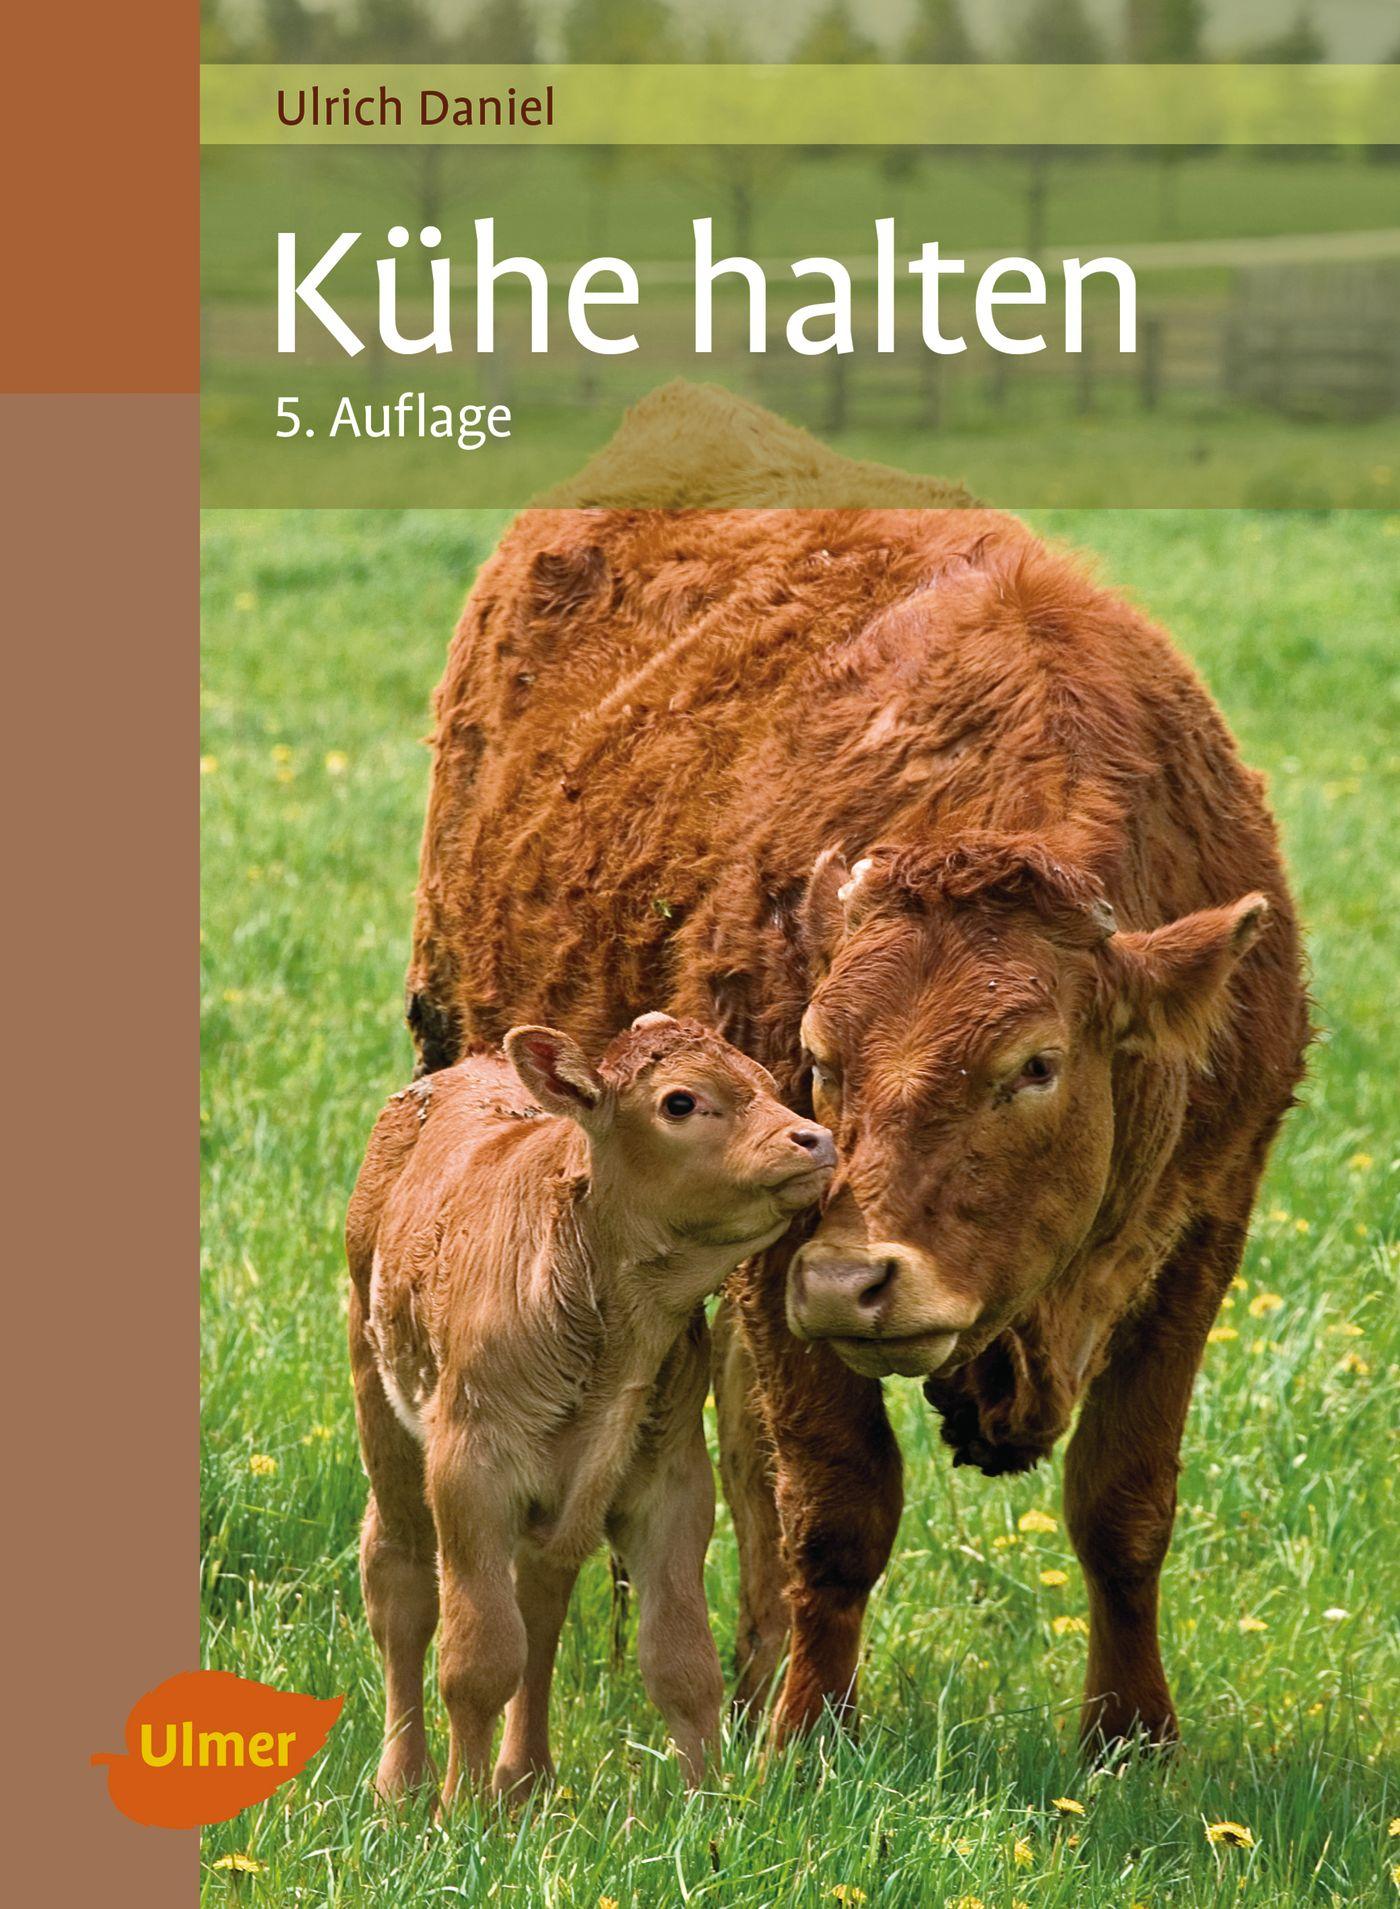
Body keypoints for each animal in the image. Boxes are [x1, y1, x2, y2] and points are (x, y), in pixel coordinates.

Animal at [347, 1012, 835, 1802]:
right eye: (680, 1101)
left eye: (766, 1081)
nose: (815, 1139)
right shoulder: (469, 1472)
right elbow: (479, 1658)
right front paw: (461, 1811)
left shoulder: (672, 1481)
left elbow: (682, 1662)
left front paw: (707, 1808)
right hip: (382, 1412)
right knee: (401, 1580)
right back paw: (404, 1786)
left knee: (541, 1597)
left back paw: (524, 1779)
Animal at [405, 505, 1309, 1755]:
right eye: (821, 1057)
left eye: (1035, 1064)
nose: (851, 1282)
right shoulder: (779, 1250)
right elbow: (835, 1505)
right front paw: (808, 1734)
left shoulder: (1200, 1234)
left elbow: (1122, 1503)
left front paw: (1132, 1737)